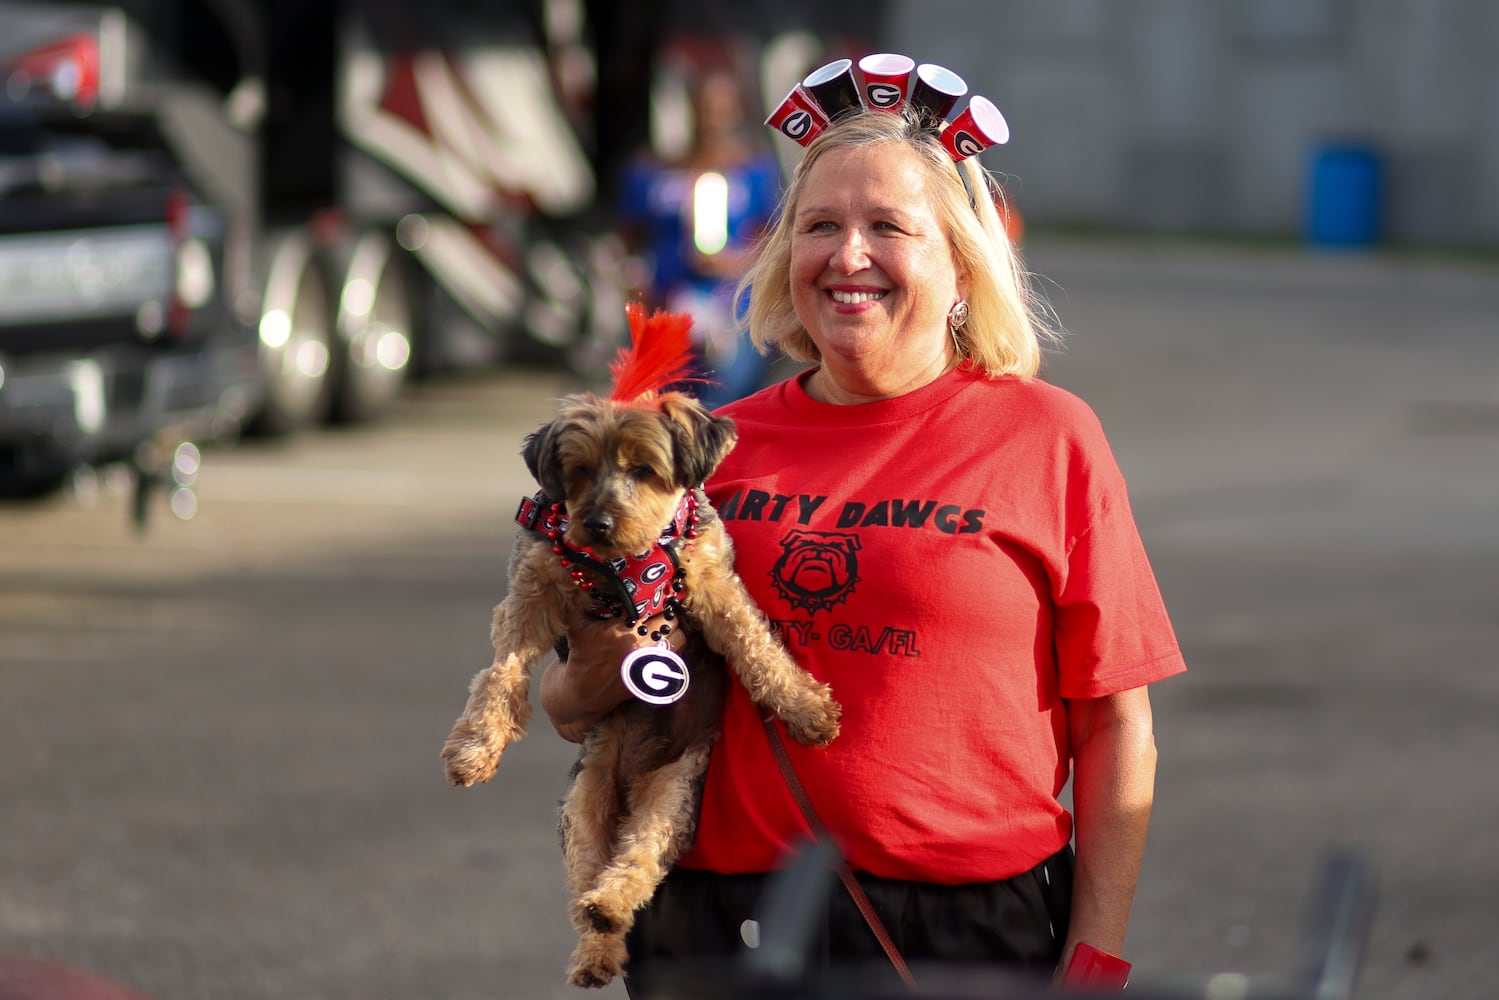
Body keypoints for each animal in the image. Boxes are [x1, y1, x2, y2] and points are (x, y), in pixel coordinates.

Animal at [440, 310, 845, 983]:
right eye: (577, 471)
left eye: (643, 470)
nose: (596, 523)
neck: (626, 565)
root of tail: (630, 787)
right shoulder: (533, 595)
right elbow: (499, 674)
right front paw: (474, 747)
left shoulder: (711, 583)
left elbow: (758, 647)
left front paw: (807, 709)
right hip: (584, 798)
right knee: (592, 877)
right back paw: (597, 942)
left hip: (675, 791)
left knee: (640, 857)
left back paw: (610, 906)